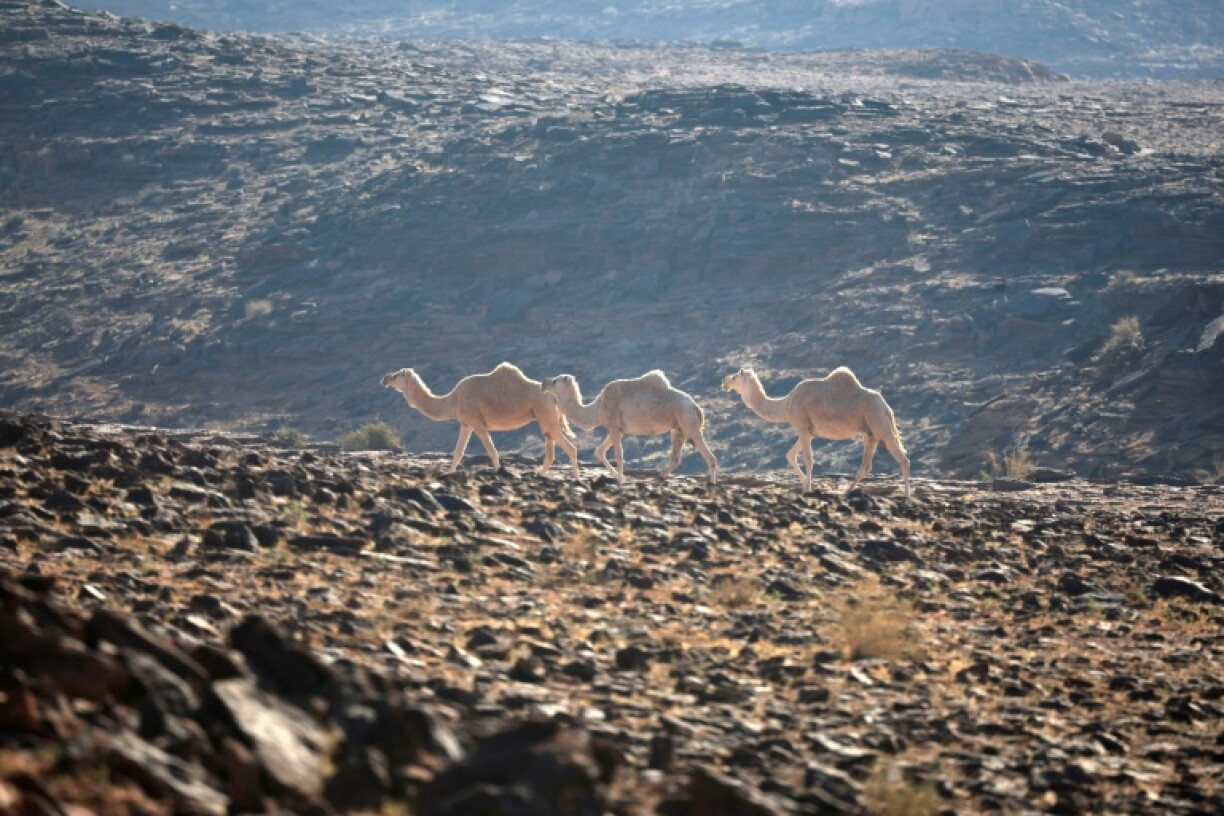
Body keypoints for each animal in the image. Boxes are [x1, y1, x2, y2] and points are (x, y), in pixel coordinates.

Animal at [381, 362, 579, 477]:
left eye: (397, 375)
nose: (385, 378)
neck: (453, 399)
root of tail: (553, 396)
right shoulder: (466, 424)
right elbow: (458, 452)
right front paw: (450, 472)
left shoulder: (477, 422)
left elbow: (492, 450)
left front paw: (498, 471)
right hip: (545, 418)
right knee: (550, 446)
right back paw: (541, 473)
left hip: (546, 416)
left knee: (570, 447)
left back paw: (575, 478)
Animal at [541, 370, 718, 484]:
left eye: (555, 381)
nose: (544, 382)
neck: (597, 408)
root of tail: (695, 406)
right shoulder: (619, 429)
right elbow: (599, 451)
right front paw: (616, 476)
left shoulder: (613, 425)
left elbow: (619, 456)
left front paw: (620, 479)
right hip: (678, 428)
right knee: (676, 457)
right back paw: (661, 475)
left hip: (689, 422)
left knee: (710, 457)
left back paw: (712, 483)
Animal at [722, 366, 910, 496]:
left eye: (735, 376)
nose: (724, 382)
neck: (787, 405)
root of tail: (886, 406)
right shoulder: (809, 432)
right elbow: (790, 455)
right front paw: (806, 484)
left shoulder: (801, 426)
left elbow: (808, 458)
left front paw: (809, 488)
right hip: (871, 433)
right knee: (866, 465)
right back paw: (848, 491)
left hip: (879, 423)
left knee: (903, 459)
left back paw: (906, 495)